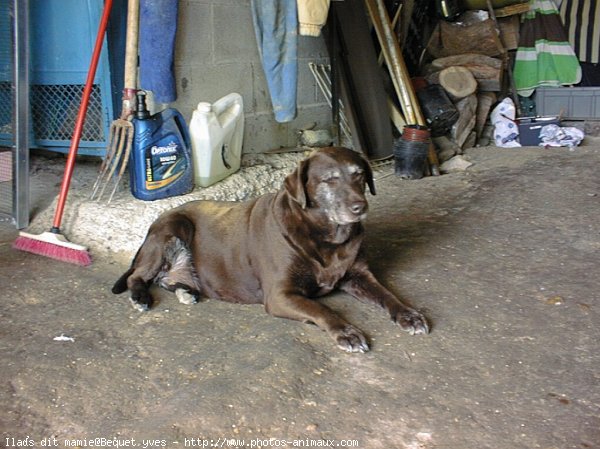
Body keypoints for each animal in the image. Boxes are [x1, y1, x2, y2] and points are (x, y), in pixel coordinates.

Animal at [112, 147, 428, 350]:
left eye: (360, 174)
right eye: (329, 180)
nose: (359, 207)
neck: (326, 237)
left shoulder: (360, 276)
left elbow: (388, 295)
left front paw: (408, 314)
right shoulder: (280, 295)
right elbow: (322, 308)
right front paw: (346, 331)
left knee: (166, 279)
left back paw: (186, 291)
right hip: (173, 228)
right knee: (138, 276)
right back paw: (141, 296)